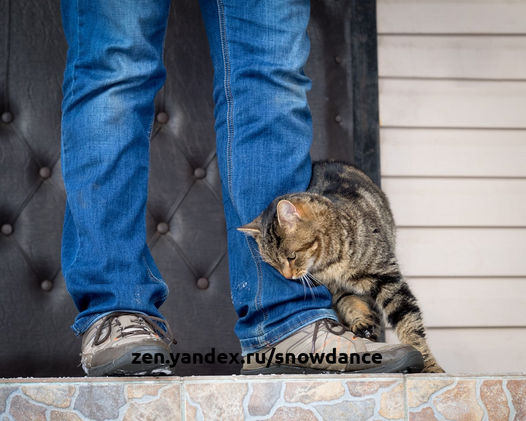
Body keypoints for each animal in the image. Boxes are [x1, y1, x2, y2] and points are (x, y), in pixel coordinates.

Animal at [239, 158, 446, 370]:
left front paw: (429, 366)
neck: (329, 264)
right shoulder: (335, 290)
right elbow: (350, 302)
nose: (287, 276)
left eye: (291, 257)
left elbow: (409, 324)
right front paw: (361, 321)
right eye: (273, 265)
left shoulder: (388, 278)